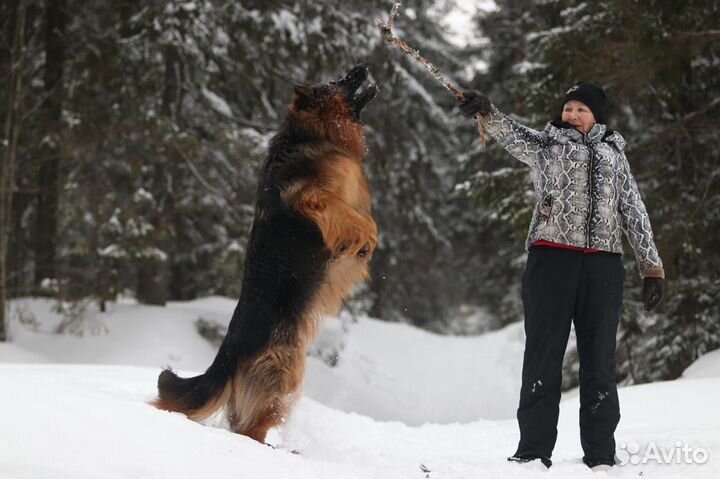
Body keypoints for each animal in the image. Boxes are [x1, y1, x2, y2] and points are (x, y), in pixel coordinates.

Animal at [150, 65, 380, 444]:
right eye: (335, 82)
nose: (361, 65)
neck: (311, 135)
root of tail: (227, 356)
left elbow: (365, 218)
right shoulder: (313, 199)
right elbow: (360, 220)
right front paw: (367, 242)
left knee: (239, 423)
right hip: (283, 372)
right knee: (250, 427)